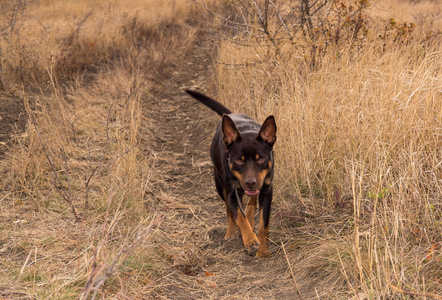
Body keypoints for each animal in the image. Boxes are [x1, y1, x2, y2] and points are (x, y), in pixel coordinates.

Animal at [184, 89, 274, 258]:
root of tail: (232, 114)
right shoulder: (231, 191)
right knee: (229, 210)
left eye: (261, 159)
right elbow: (238, 215)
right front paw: (250, 240)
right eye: (238, 160)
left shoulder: (266, 189)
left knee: (251, 202)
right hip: (220, 184)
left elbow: (264, 224)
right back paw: (231, 232)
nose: (250, 182)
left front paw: (263, 249)